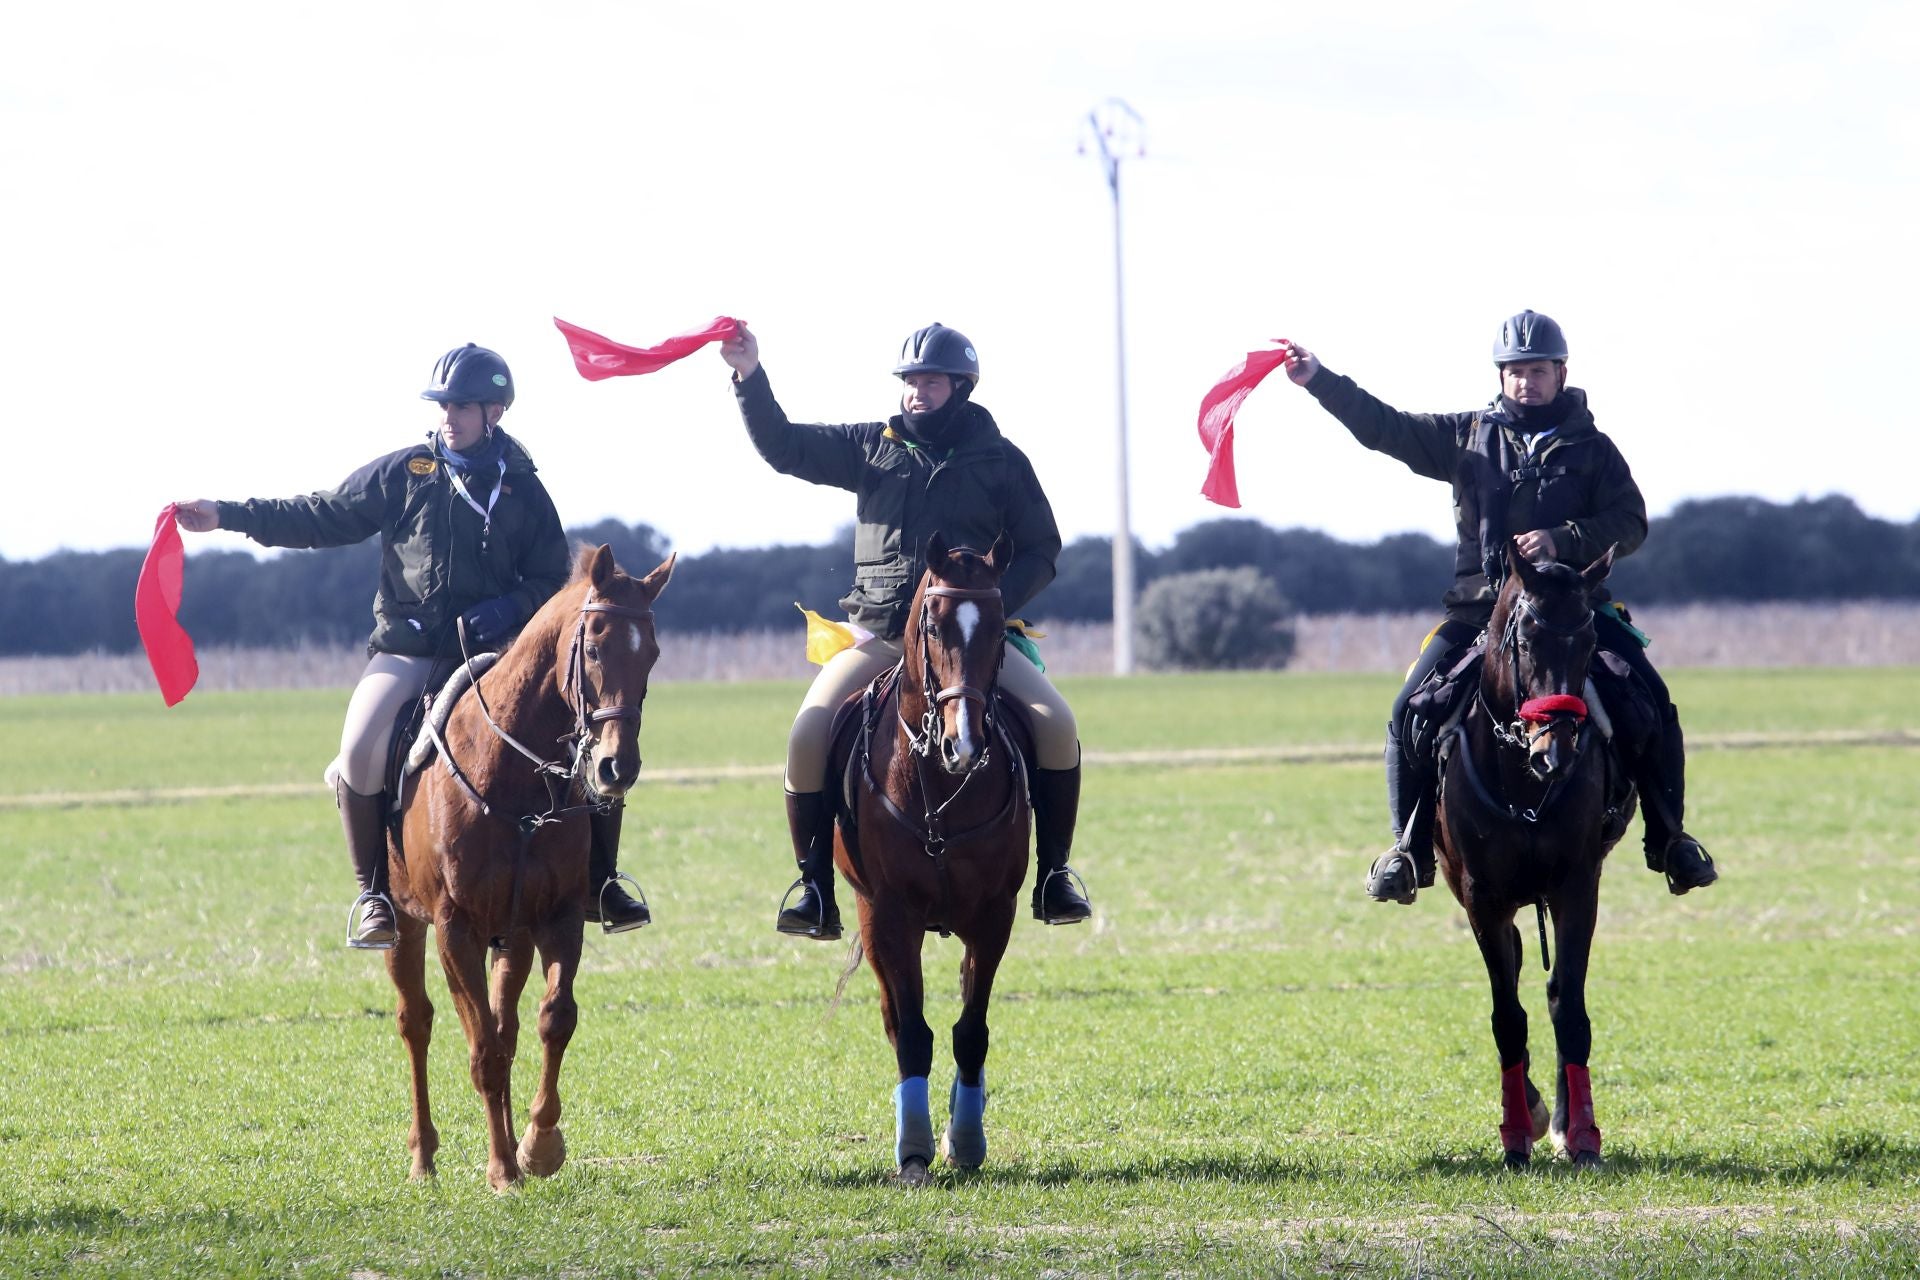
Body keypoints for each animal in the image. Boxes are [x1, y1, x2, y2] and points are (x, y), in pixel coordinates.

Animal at [382, 541, 675, 1189]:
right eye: (594, 648)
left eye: (653, 654)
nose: (617, 767)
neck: (510, 773)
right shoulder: (455, 929)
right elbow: (482, 1050)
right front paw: (501, 1168)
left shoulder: (557, 917)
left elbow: (553, 1019)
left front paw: (538, 1146)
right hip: (406, 924)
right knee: (418, 1024)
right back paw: (422, 1157)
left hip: (511, 934)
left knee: (507, 1026)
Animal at [829, 533, 1029, 1189]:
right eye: (934, 626)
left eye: (997, 627)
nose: (962, 744)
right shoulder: (891, 916)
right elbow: (913, 1034)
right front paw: (913, 1152)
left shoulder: (995, 915)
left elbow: (971, 1031)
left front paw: (963, 1142)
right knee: (896, 1020)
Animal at [1436, 541, 1628, 1174]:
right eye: (1525, 643)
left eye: (1590, 642)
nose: (1556, 752)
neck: (1522, 782)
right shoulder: (1482, 899)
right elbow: (1506, 1017)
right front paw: (1516, 1133)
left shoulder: (1577, 887)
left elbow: (1568, 1006)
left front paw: (1583, 1134)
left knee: (1554, 990)